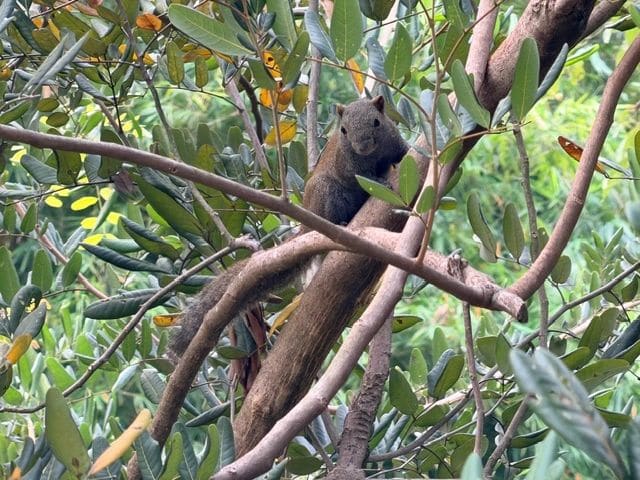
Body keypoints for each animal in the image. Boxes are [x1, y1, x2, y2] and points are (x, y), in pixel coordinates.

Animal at [169, 95, 409, 355]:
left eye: (376, 122)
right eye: (343, 130)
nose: (362, 146)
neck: (373, 156)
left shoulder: (395, 144)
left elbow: (405, 154)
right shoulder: (349, 165)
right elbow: (364, 178)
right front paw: (380, 181)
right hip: (326, 192)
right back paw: (341, 224)